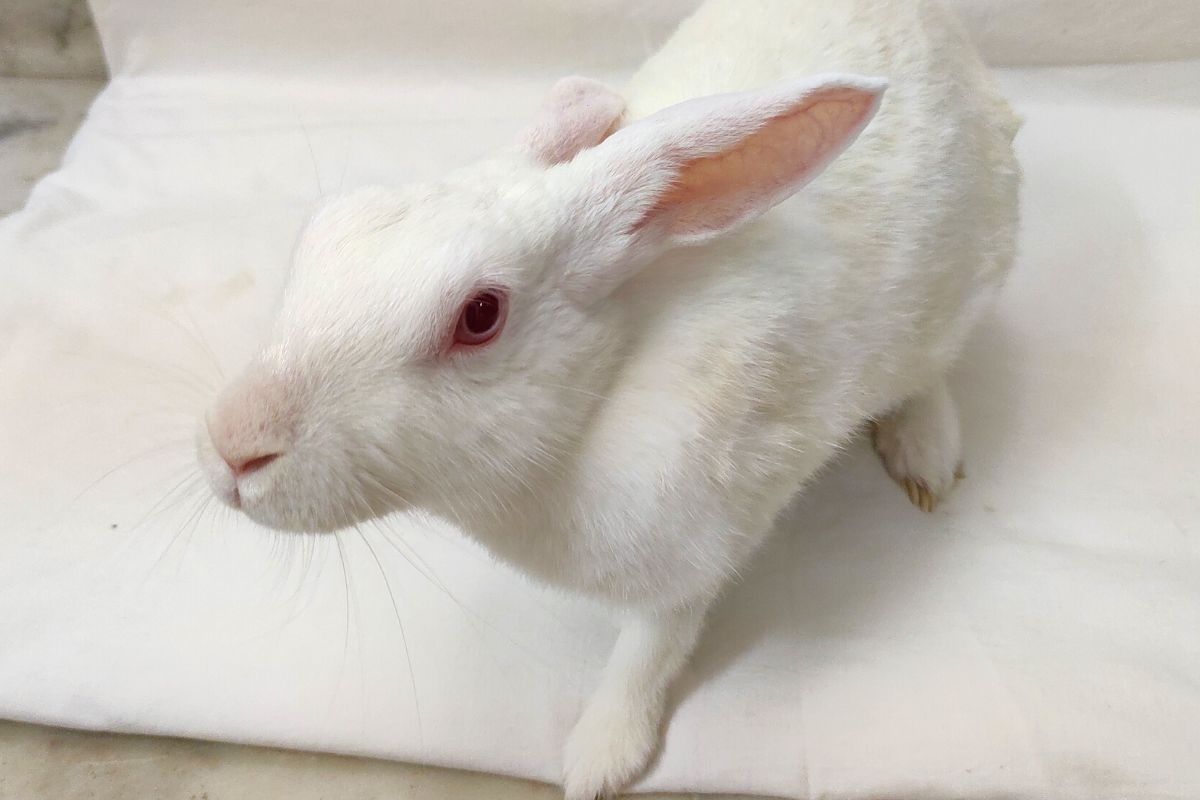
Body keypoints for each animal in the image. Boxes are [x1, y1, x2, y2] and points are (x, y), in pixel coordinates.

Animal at [196, 0, 1020, 796]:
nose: (233, 447)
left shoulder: (691, 555)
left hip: (961, 293)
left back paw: (926, 456)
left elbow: (647, 657)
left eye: (480, 315)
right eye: (325, 226)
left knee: (927, 375)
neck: (598, 398)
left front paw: (598, 760)